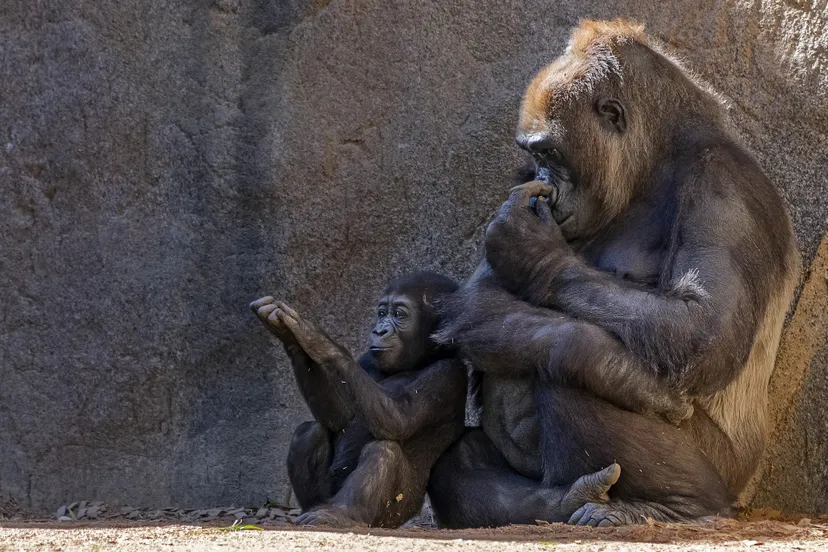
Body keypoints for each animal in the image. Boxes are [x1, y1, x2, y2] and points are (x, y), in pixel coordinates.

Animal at [251, 272, 621, 528]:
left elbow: (396, 420)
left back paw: (341, 515)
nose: (380, 330)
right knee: (308, 432)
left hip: (392, 515)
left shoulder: (447, 374)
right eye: (381, 312)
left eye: (399, 314)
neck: (420, 358)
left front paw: (313, 337)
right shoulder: (369, 360)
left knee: (383, 450)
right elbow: (338, 416)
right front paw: (290, 337)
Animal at [428, 19, 800, 527]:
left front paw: (533, 253)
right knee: (459, 461)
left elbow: (701, 329)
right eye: (535, 157)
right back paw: (559, 501)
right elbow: (479, 298)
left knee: (570, 362)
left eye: (551, 153)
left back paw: (677, 504)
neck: (658, 159)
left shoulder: (726, 189)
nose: (544, 181)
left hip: (728, 476)